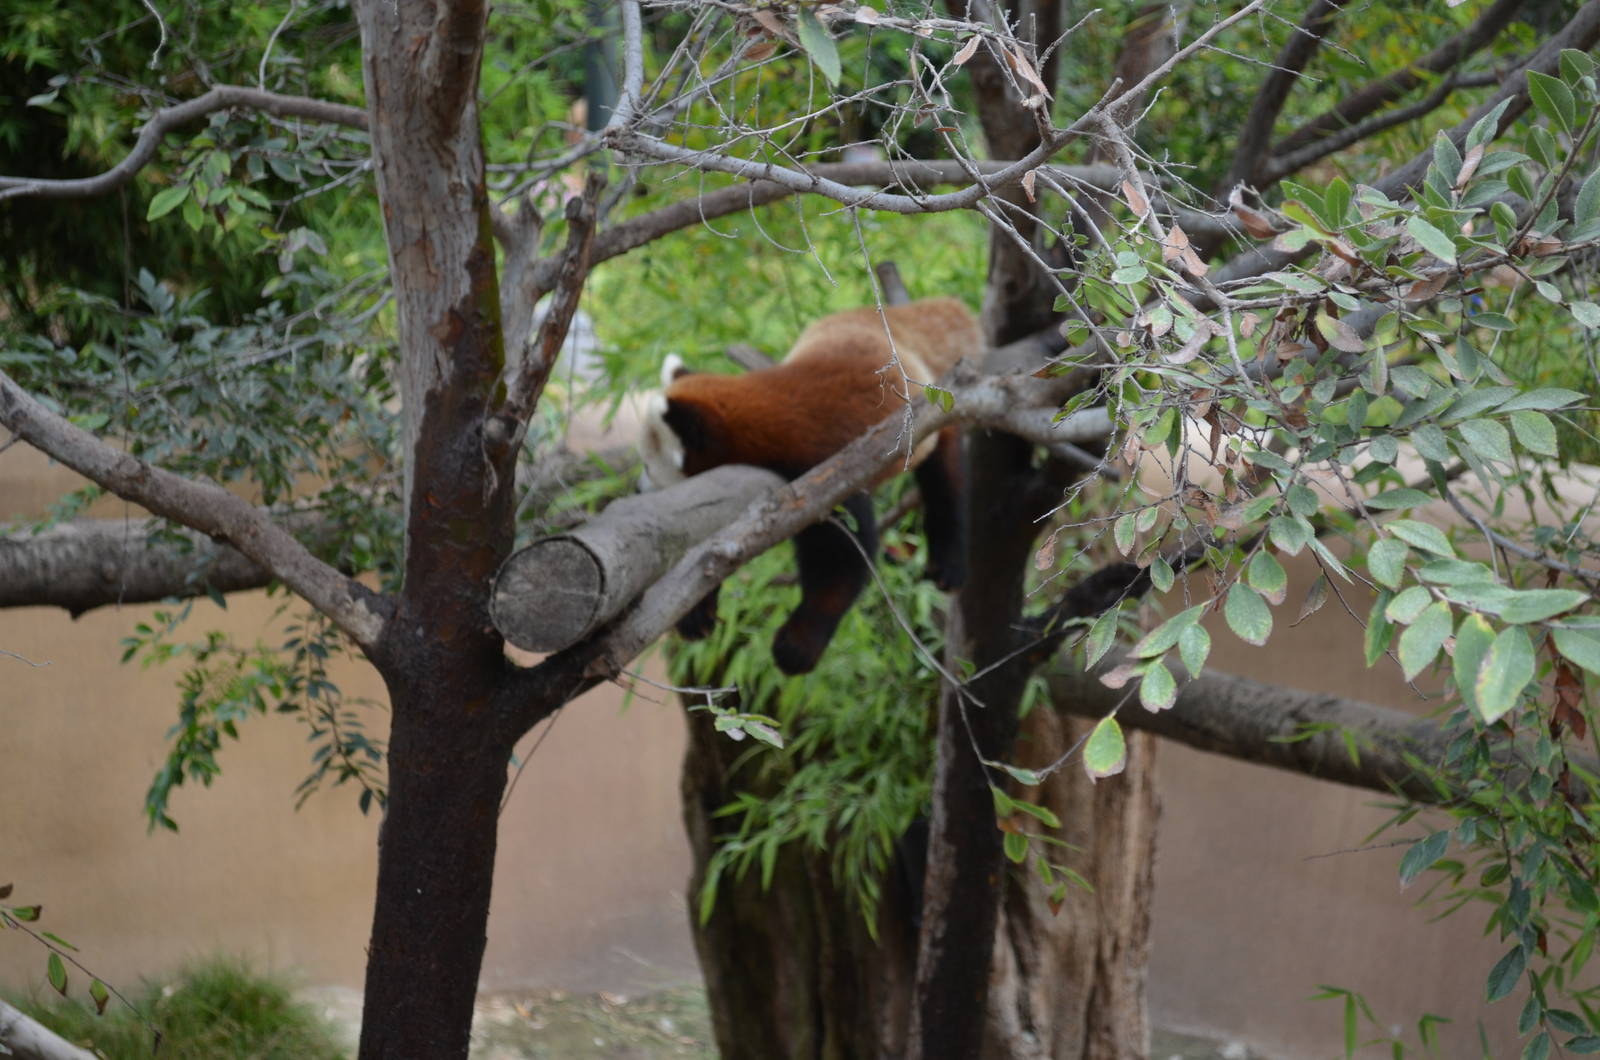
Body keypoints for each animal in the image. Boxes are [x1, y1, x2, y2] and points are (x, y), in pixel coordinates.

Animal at [639, 297, 984, 674]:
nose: (639, 488)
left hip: (929, 413)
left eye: (647, 465)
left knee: (946, 478)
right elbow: (707, 554)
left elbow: (841, 556)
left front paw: (799, 644)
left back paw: (948, 562)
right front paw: (696, 612)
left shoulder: (829, 470)